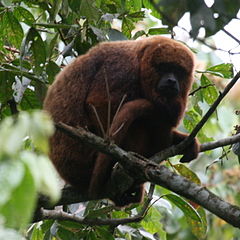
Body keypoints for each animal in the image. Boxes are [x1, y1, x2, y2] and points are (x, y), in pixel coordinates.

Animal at [42, 35, 199, 206]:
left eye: (179, 71)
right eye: (163, 67)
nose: (171, 80)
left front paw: (182, 141)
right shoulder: (122, 68)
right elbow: (99, 103)